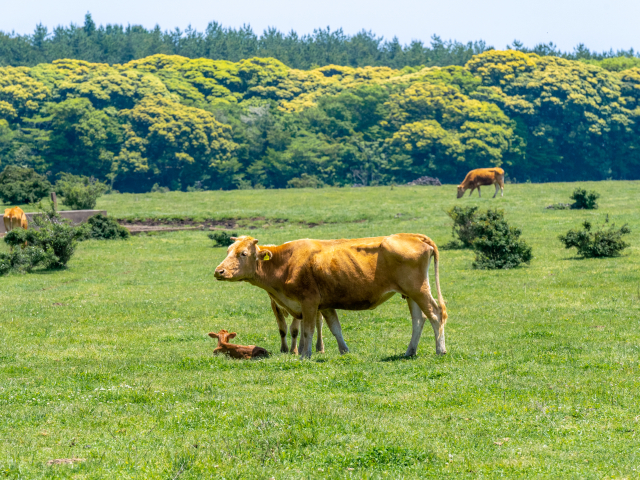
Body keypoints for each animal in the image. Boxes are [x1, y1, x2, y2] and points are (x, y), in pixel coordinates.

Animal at [212, 234, 448, 358]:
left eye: (243, 253)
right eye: (228, 251)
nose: (219, 271)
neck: (286, 263)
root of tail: (413, 235)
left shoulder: (308, 302)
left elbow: (307, 331)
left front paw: (305, 355)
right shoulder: (324, 304)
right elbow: (335, 328)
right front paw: (344, 351)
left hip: (418, 290)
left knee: (436, 314)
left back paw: (440, 349)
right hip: (410, 294)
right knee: (419, 319)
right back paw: (410, 351)